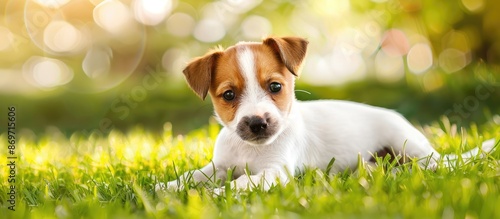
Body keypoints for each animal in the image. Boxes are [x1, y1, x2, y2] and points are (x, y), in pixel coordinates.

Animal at [155, 36, 496, 192]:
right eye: (228, 95)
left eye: (275, 86)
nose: (257, 123)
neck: (250, 150)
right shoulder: (220, 166)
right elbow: (193, 176)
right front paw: (167, 188)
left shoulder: (276, 172)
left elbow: (237, 185)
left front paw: (215, 195)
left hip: (409, 145)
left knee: (432, 165)